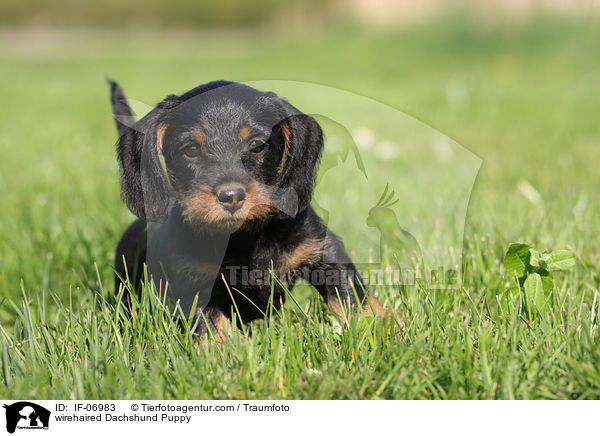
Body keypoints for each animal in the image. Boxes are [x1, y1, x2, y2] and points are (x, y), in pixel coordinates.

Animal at [109, 79, 386, 340]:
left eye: (256, 145)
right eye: (191, 149)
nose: (231, 196)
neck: (245, 236)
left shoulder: (323, 249)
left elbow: (352, 299)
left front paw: (379, 328)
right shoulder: (193, 281)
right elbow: (211, 326)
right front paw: (219, 352)